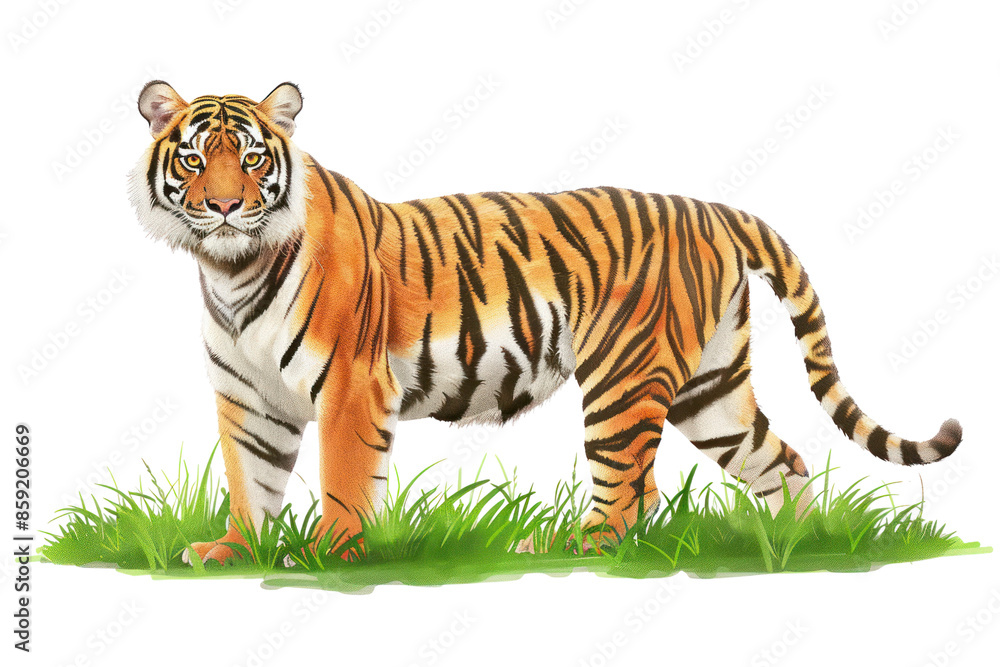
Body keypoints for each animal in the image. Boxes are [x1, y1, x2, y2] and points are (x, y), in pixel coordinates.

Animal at [129, 81, 962, 564]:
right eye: (196, 160)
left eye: (251, 158)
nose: (225, 206)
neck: (233, 271)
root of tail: (713, 209)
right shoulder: (249, 398)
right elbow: (251, 478)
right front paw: (233, 548)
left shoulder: (350, 387)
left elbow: (341, 478)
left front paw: (328, 552)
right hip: (713, 387)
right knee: (780, 461)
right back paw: (795, 543)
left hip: (624, 380)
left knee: (630, 494)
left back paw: (564, 543)